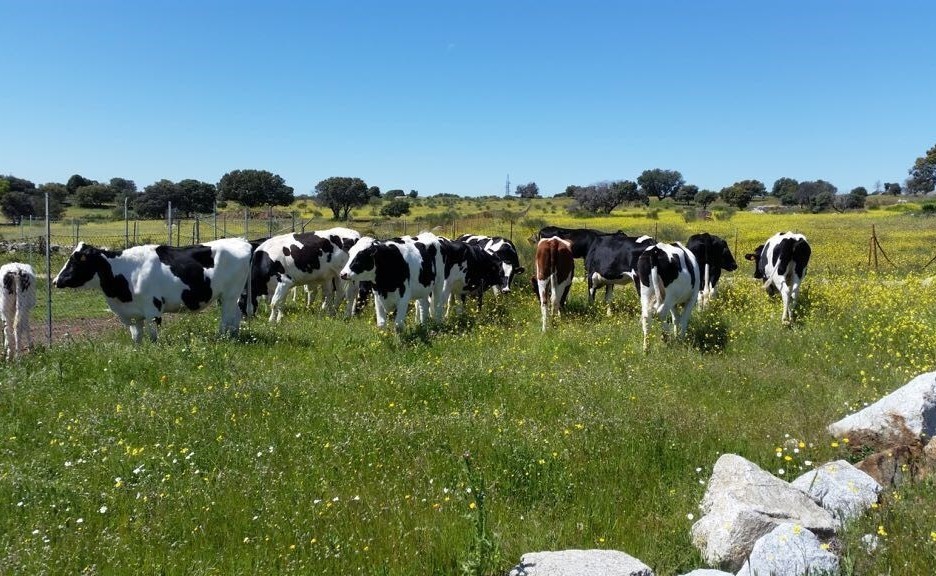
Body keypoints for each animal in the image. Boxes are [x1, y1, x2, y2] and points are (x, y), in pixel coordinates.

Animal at [53, 237, 252, 342]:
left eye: (76, 261)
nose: (55, 281)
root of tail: (241, 240)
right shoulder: (132, 313)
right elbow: (136, 336)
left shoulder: (152, 309)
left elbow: (153, 336)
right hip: (231, 295)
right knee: (237, 312)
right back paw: (234, 335)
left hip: (229, 294)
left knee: (226, 317)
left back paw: (223, 338)